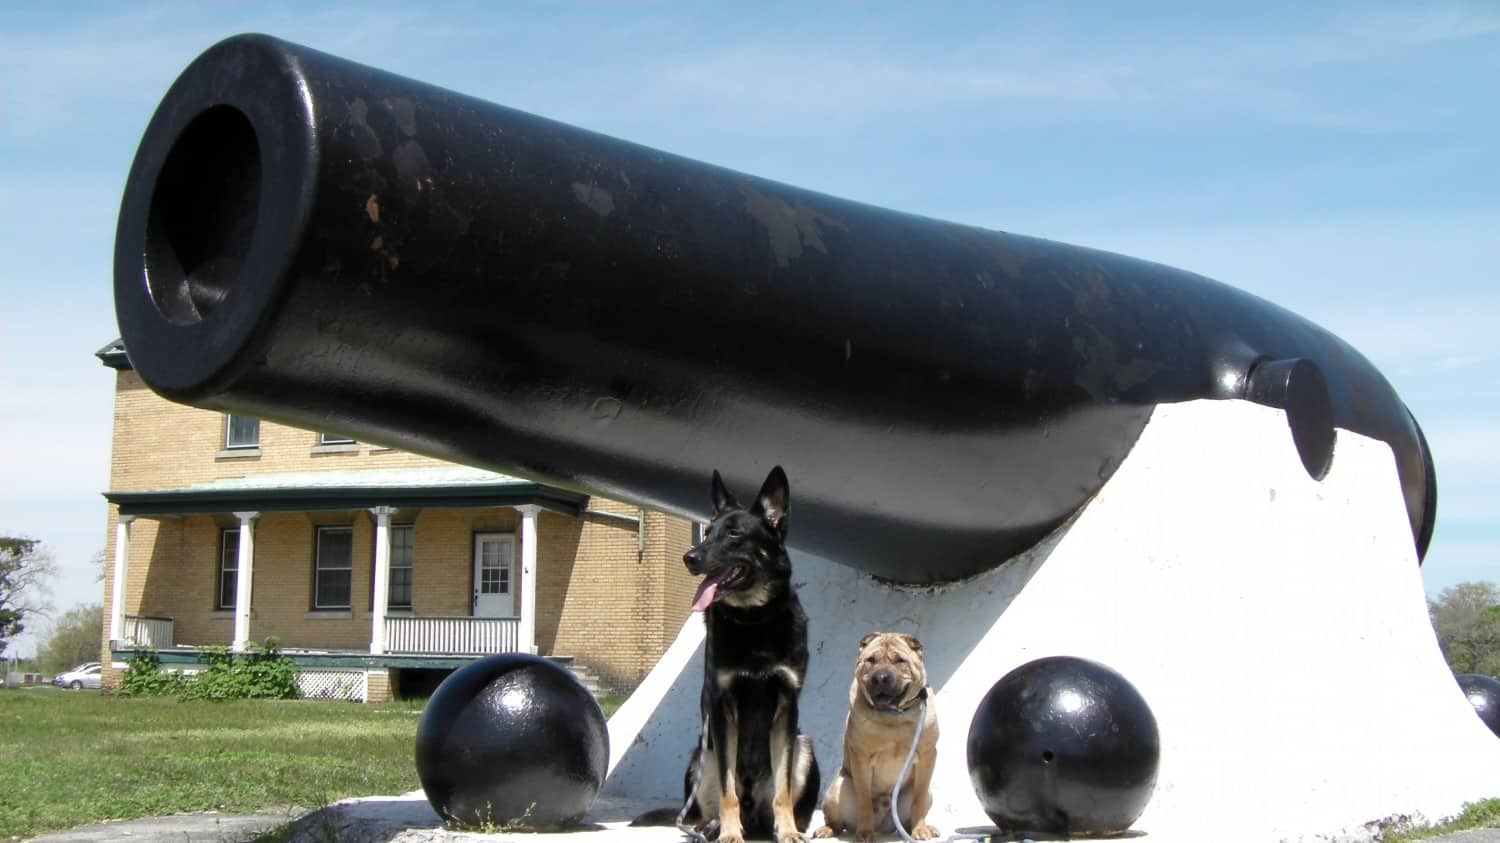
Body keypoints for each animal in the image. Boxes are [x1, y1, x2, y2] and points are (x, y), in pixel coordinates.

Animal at [675, 465, 822, 840]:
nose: (689, 558)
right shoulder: (722, 709)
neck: (754, 618)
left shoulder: (786, 708)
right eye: (708, 531)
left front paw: (787, 831)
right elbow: (728, 792)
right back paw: (710, 826)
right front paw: (730, 832)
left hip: (804, 746)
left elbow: (784, 791)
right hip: (701, 756)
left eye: (734, 534)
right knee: (713, 804)